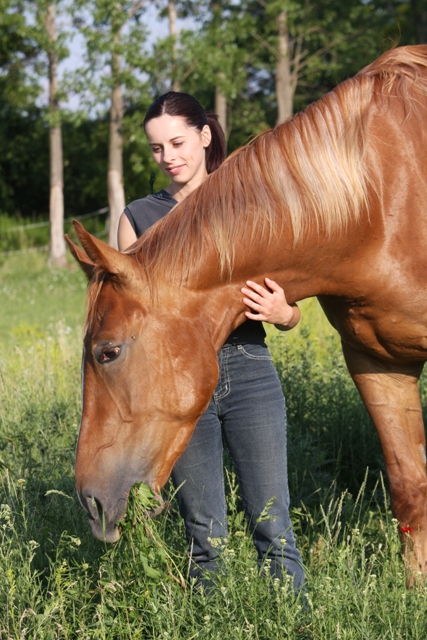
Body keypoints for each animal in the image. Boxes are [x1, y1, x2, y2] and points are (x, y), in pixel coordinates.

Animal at [66, 43, 427, 584]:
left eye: (107, 353)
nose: (90, 502)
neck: (380, 199)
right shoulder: (377, 360)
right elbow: (410, 485)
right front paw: (413, 588)